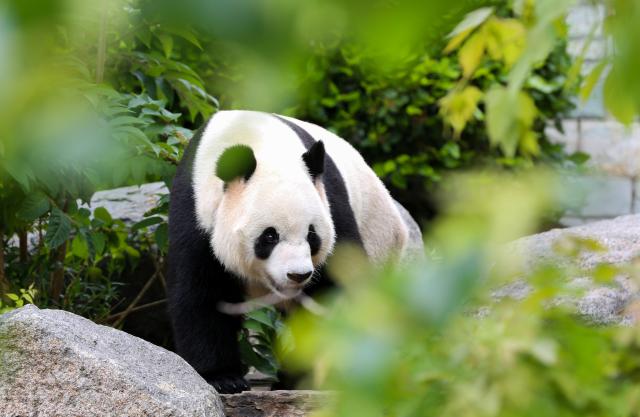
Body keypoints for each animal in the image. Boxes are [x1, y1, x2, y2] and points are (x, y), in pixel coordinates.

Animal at [167, 110, 423, 393]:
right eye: (269, 235)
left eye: (312, 235)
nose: (298, 275)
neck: (258, 141)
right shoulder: (195, 209)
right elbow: (201, 292)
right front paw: (224, 378)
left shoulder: (330, 203)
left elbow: (334, 292)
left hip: (381, 243)